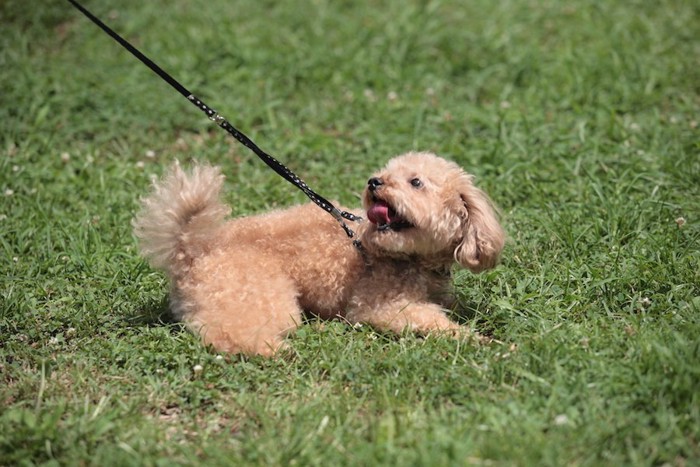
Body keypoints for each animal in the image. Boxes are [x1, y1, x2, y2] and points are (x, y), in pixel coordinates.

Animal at [133, 152, 504, 356]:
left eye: (416, 182)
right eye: (386, 173)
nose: (374, 182)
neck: (409, 257)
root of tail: (191, 249)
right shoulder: (380, 305)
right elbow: (430, 320)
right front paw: (476, 338)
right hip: (260, 296)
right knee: (227, 335)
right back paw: (276, 350)